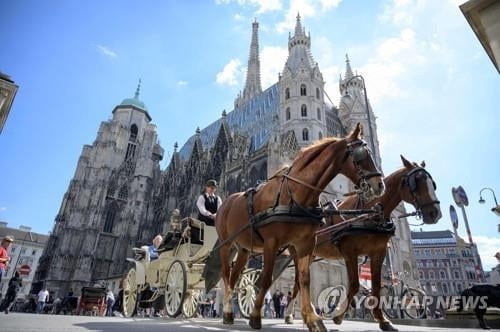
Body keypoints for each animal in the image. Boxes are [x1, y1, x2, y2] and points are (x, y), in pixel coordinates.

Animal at [214, 122, 382, 332]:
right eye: (360, 154)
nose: (380, 185)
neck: (296, 192)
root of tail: (226, 201)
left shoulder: (305, 244)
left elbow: (304, 279)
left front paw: (313, 319)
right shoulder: (271, 242)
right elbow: (266, 278)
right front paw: (255, 316)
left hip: (244, 248)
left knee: (234, 276)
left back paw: (229, 313)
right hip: (226, 244)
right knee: (225, 275)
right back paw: (228, 311)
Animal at [286, 154, 442, 330]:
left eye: (432, 183)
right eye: (416, 181)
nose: (435, 213)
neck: (371, 211)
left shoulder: (379, 252)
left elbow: (375, 286)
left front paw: (383, 320)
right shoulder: (349, 251)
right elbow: (354, 285)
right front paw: (338, 315)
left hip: (311, 254)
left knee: (298, 282)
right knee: (297, 282)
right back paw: (294, 314)